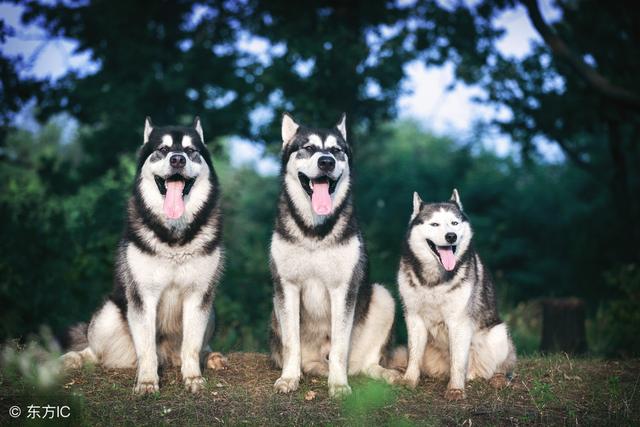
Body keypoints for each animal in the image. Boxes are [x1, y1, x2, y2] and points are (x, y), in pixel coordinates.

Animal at [60, 117, 225, 394]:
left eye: (191, 150)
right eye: (163, 149)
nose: (178, 160)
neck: (174, 237)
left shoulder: (198, 295)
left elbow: (191, 347)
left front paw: (193, 377)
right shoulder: (143, 296)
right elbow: (147, 349)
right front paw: (147, 381)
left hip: (211, 310)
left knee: (198, 346)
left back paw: (210, 356)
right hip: (107, 314)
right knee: (94, 351)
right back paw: (74, 358)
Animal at [268, 113, 400, 398]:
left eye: (336, 151)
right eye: (308, 148)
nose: (326, 161)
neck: (314, 232)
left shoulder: (344, 288)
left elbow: (340, 346)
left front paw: (338, 384)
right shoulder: (286, 286)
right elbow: (291, 344)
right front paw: (289, 378)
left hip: (383, 297)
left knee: (366, 363)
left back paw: (385, 374)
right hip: (275, 307)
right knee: (307, 359)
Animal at [398, 191, 516, 402]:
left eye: (454, 223)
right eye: (435, 224)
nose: (451, 236)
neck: (434, 279)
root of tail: (474, 372)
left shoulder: (458, 321)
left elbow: (458, 361)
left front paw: (455, 389)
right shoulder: (413, 317)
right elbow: (414, 355)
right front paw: (409, 379)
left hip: (499, 333)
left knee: (502, 368)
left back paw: (498, 378)